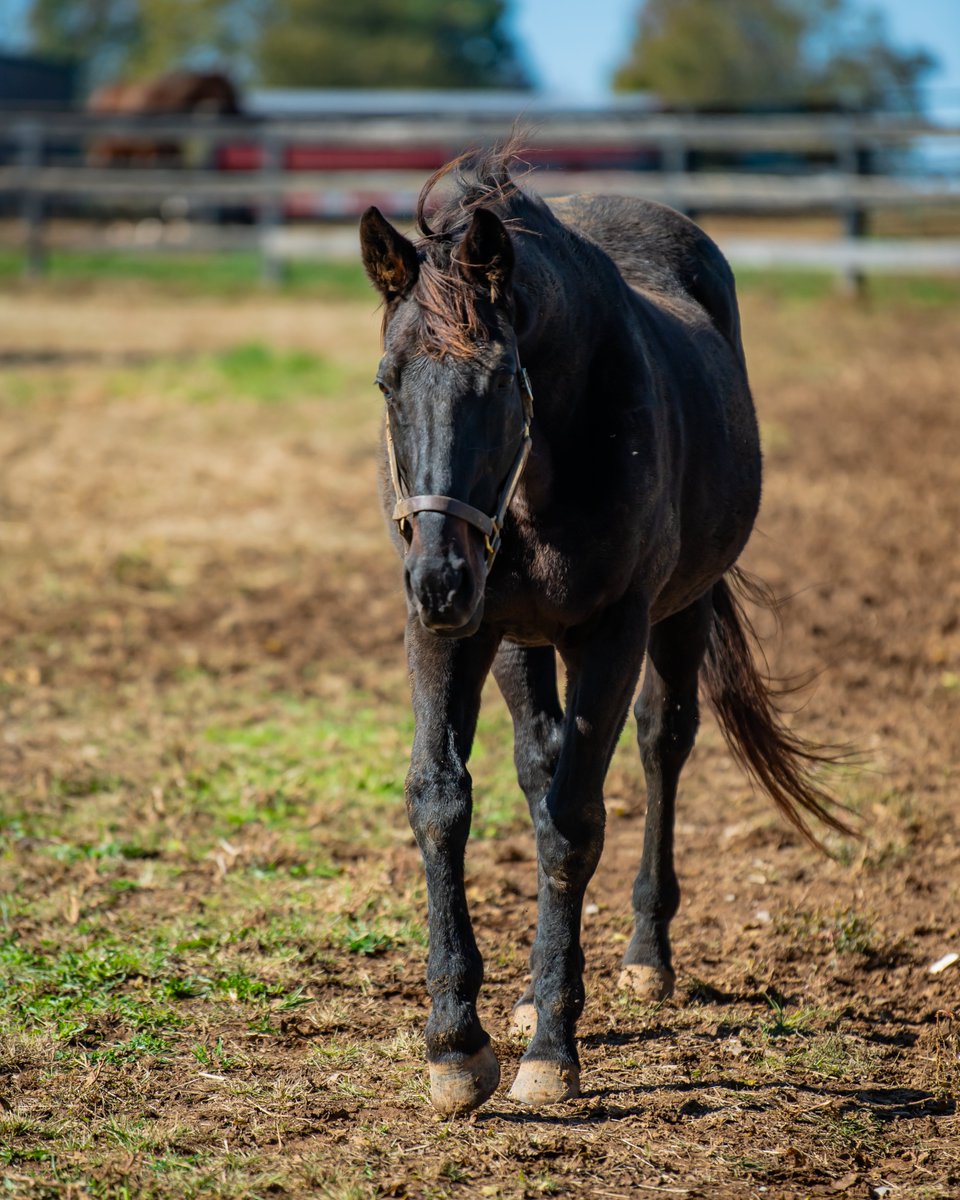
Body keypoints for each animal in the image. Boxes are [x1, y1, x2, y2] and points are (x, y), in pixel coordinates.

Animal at [358, 141, 849, 1115]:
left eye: (500, 382)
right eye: (388, 384)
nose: (439, 578)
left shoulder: (613, 631)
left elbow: (574, 822)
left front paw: (552, 1049)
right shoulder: (452, 635)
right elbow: (442, 800)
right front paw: (456, 1042)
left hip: (681, 607)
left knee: (663, 745)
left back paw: (643, 958)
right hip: (515, 638)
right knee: (538, 760)